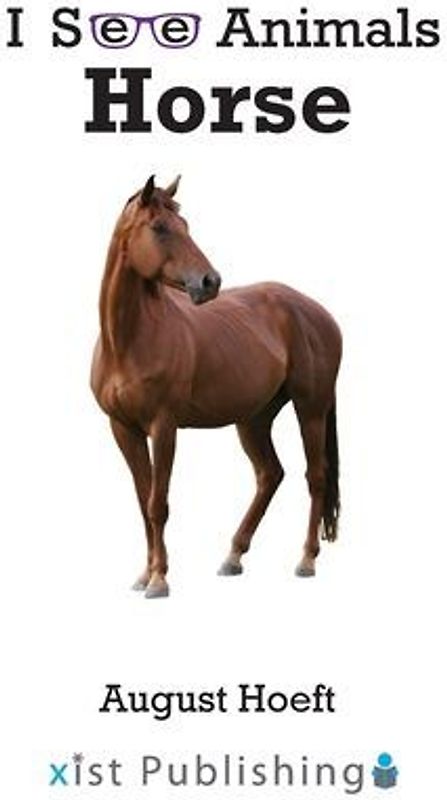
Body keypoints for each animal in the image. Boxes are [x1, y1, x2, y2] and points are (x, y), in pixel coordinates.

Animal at [91, 175, 342, 598]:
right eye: (160, 228)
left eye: (185, 225)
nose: (210, 282)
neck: (129, 340)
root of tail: (319, 313)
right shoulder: (123, 428)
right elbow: (144, 500)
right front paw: (144, 574)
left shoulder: (164, 427)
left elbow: (158, 503)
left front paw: (159, 579)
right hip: (254, 419)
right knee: (270, 474)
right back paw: (233, 556)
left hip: (311, 409)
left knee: (316, 477)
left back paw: (306, 560)